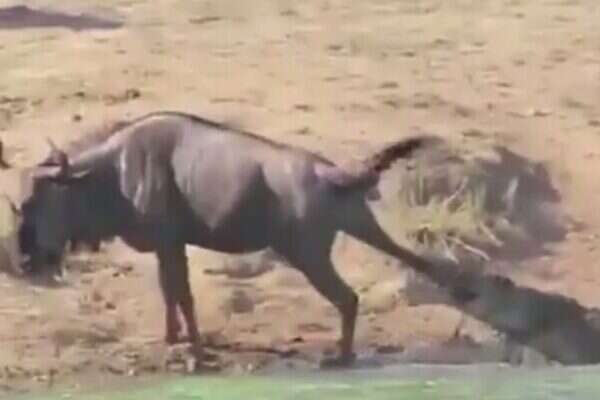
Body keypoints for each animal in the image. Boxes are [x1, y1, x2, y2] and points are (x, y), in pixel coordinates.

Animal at [15, 111, 443, 367]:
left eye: (33, 201)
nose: (24, 261)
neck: (113, 172)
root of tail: (332, 173)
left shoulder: (171, 244)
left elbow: (183, 295)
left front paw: (196, 352)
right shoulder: (168, 247)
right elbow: (170, 292)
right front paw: (172, 339)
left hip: (309, 256)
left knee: (348, 298)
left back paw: (342, 357)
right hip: (362, 229)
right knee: (425, 265)